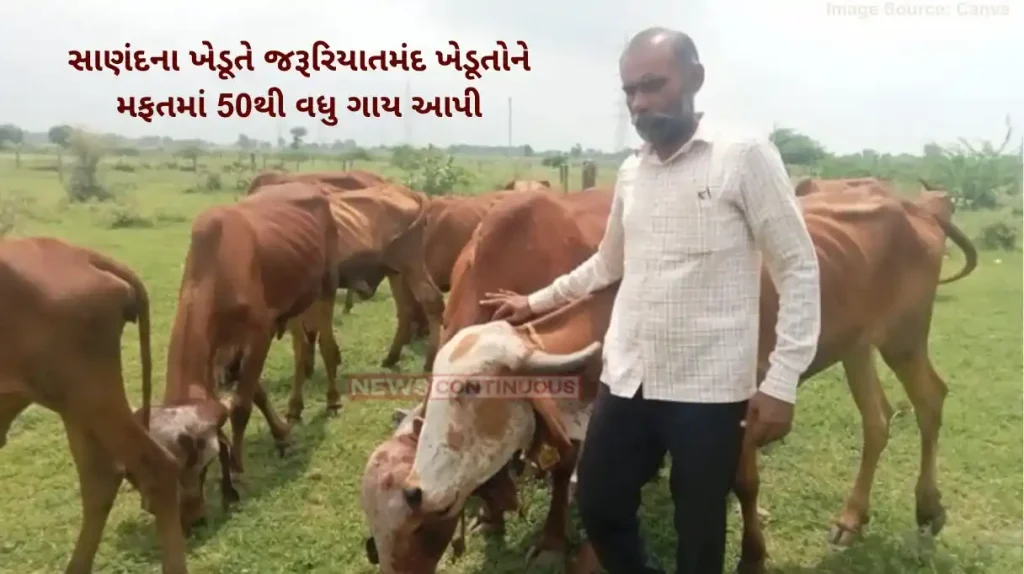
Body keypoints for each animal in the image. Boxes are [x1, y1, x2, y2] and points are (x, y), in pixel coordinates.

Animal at [148, 181, 341, 530]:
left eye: (200, 466)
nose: (190, 520)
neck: (215, 272)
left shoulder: (258, 336)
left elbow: (241, 407)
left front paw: (237, 471)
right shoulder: (231, 353)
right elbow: (257, 395)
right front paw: (282, 435)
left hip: (325, 287)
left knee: (327, 346)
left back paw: (332, 400)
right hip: (295, 302)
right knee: (301, 352)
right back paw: (294, 408)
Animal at [388, 183, 979, 574]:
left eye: (473, 390)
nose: (418, 490)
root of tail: (914, 204)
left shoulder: (737, 414)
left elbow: (740, 485)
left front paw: (752, 557)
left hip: (904, 336)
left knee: (931, 399)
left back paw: (929, 508)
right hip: (858, 347)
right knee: (879, 417)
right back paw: (853, 518)